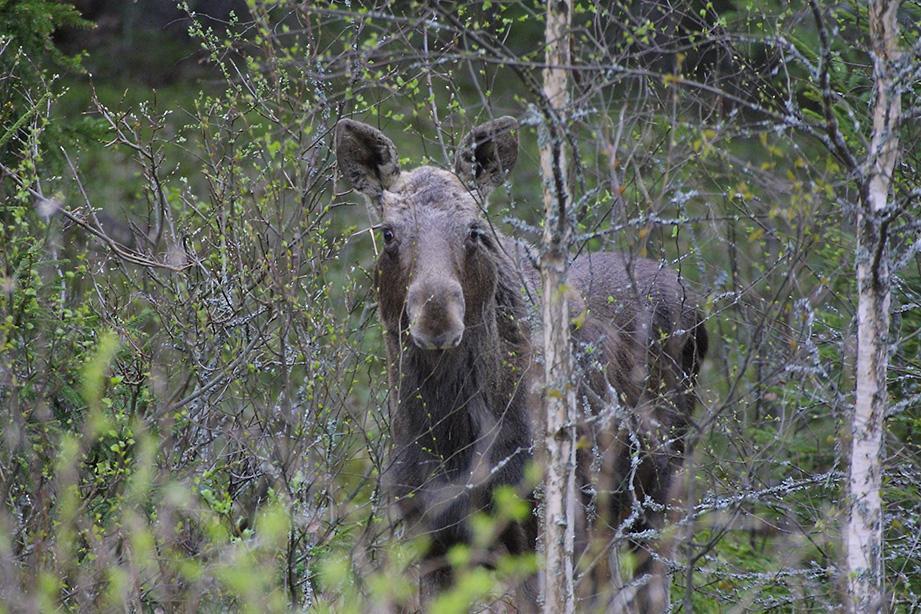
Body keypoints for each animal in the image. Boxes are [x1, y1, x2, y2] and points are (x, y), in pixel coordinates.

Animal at [336, 118, 704, 612]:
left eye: (475, 230)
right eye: (389, 233)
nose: (436, 314)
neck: (450, 438)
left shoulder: (543, 528)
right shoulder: (429, 539)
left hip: (658, 490)